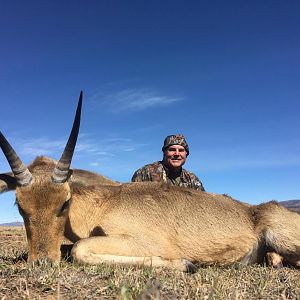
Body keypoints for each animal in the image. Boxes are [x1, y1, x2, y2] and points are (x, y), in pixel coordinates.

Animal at [0, 92, 300, 272]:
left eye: (64, 203)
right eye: (19, 206)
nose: (41, 262)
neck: (105, 203)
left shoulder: (145, 241)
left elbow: (79, 248)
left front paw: (186, 264)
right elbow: (70, 247)